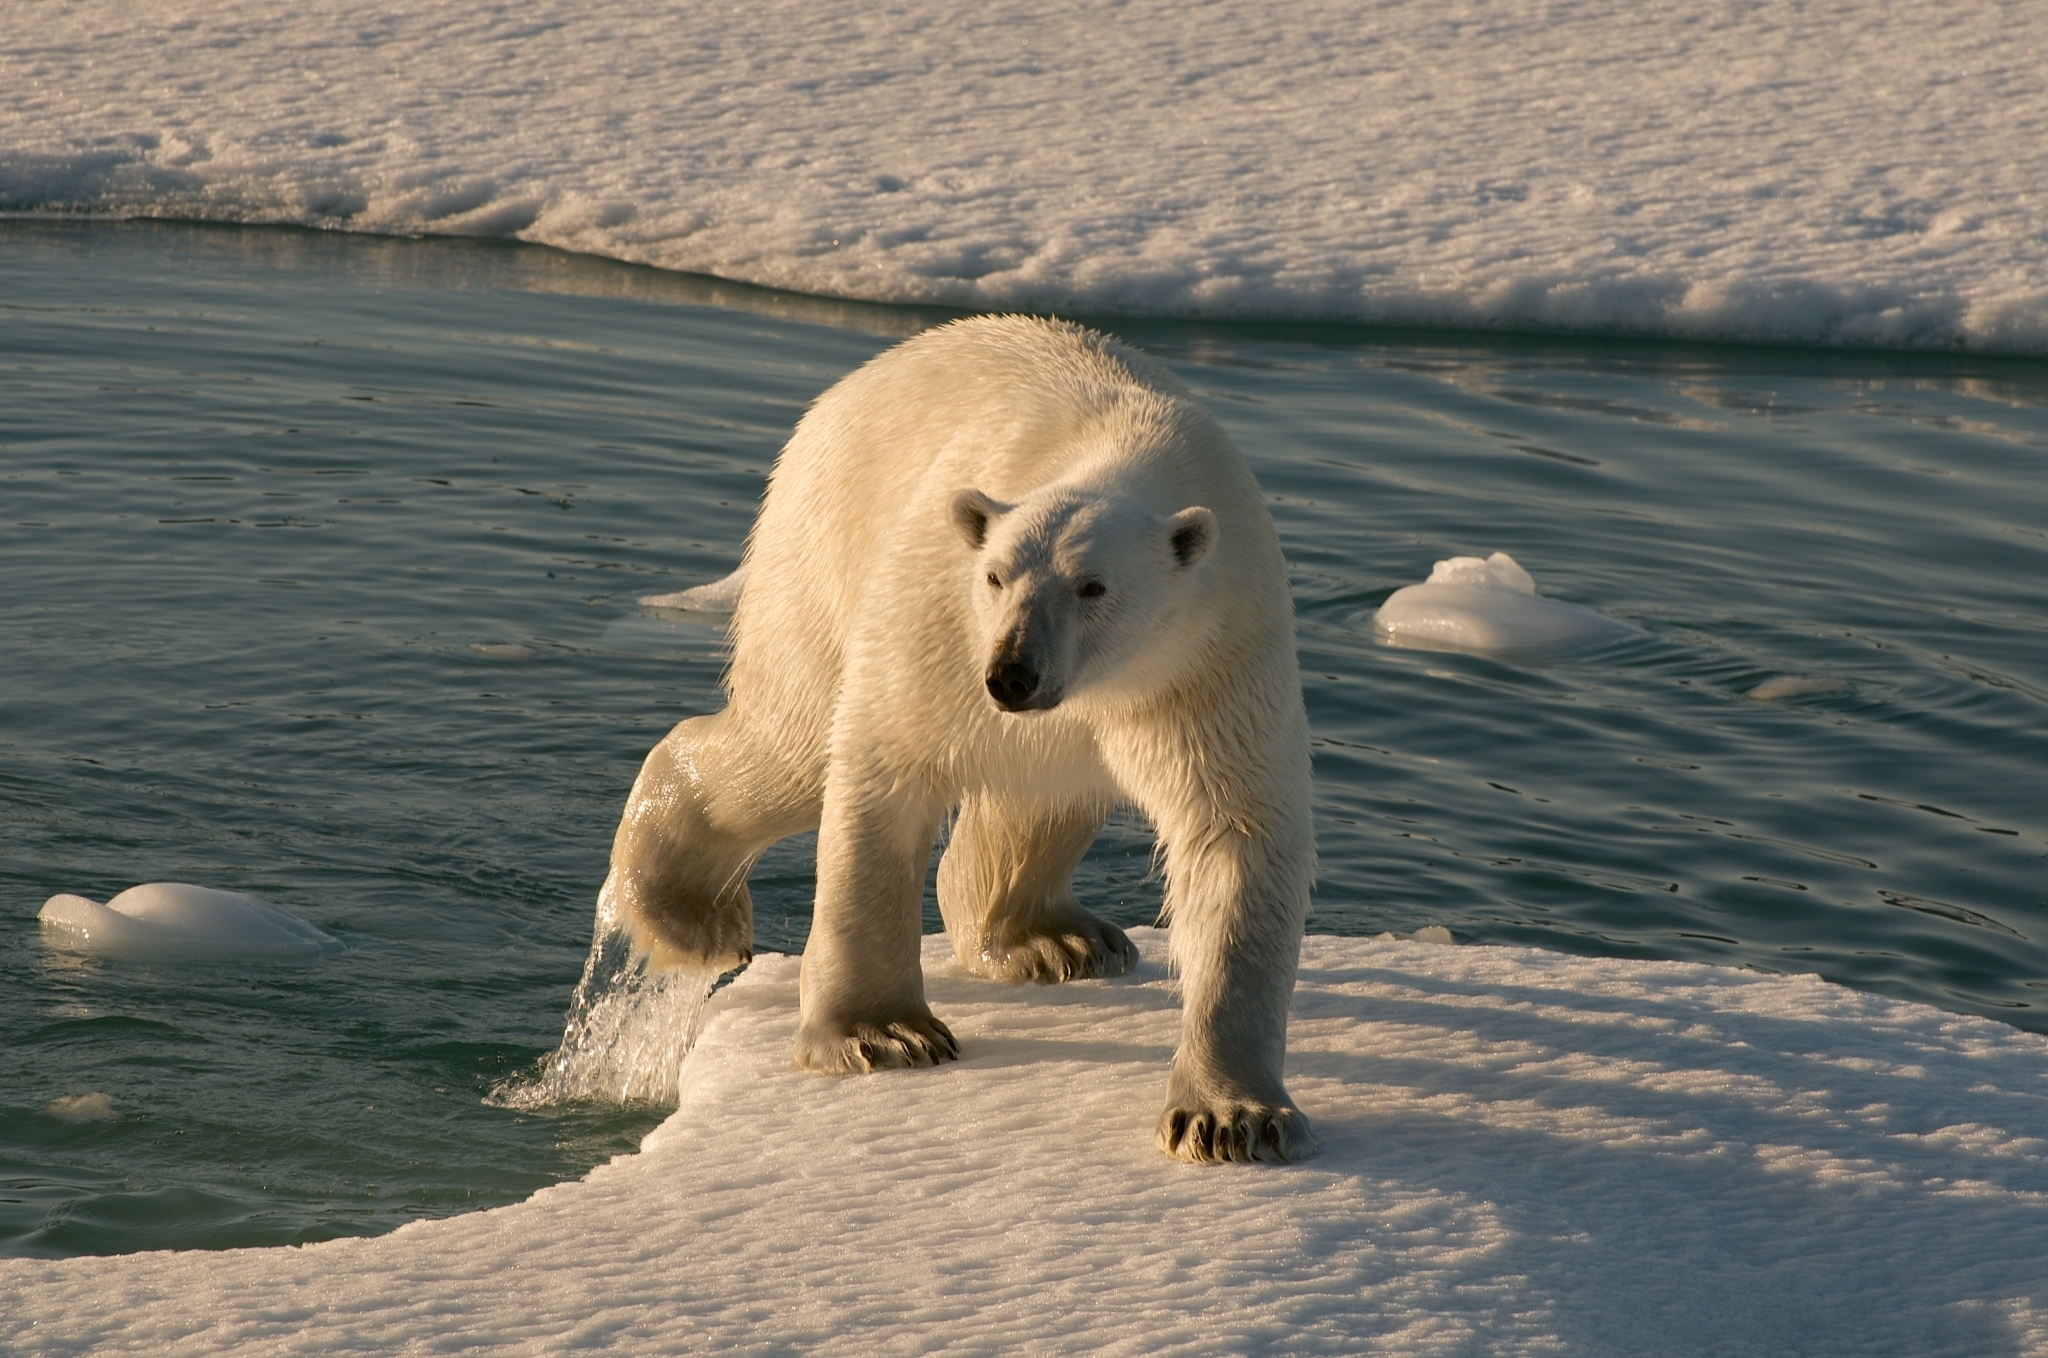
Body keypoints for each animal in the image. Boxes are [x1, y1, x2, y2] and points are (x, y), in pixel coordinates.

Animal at [604, 315, 1316, 1163]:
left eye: (1093, 586)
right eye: (997, 575)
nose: (1013, 674)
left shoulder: (1209, 655)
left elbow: (1231, 830)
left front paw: (1231, 1118)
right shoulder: (940, 616)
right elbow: (885, 771)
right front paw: (882, 1035)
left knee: (1040, 796)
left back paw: (1056, 940)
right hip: (824, 539)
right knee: (791, 747)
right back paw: (690, 917)